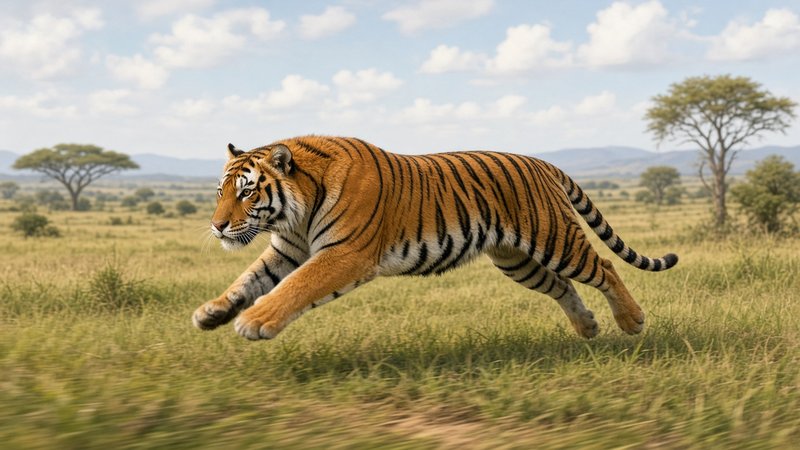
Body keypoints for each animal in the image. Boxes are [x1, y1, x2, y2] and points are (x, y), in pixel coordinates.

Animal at [192, 135, 678, 341]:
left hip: (555, 238)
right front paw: (211, 312)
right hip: (515, 259)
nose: (217, 226)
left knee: (605, 267)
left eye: (247, 192)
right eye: (220, 192)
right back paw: (587, 327)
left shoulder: (344, 253)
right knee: (561, 286)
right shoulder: (287, 250)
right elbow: (247, 280)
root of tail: (542, 161)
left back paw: (631, 321)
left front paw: (255, 322)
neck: (294, 213)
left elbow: (294, 287)